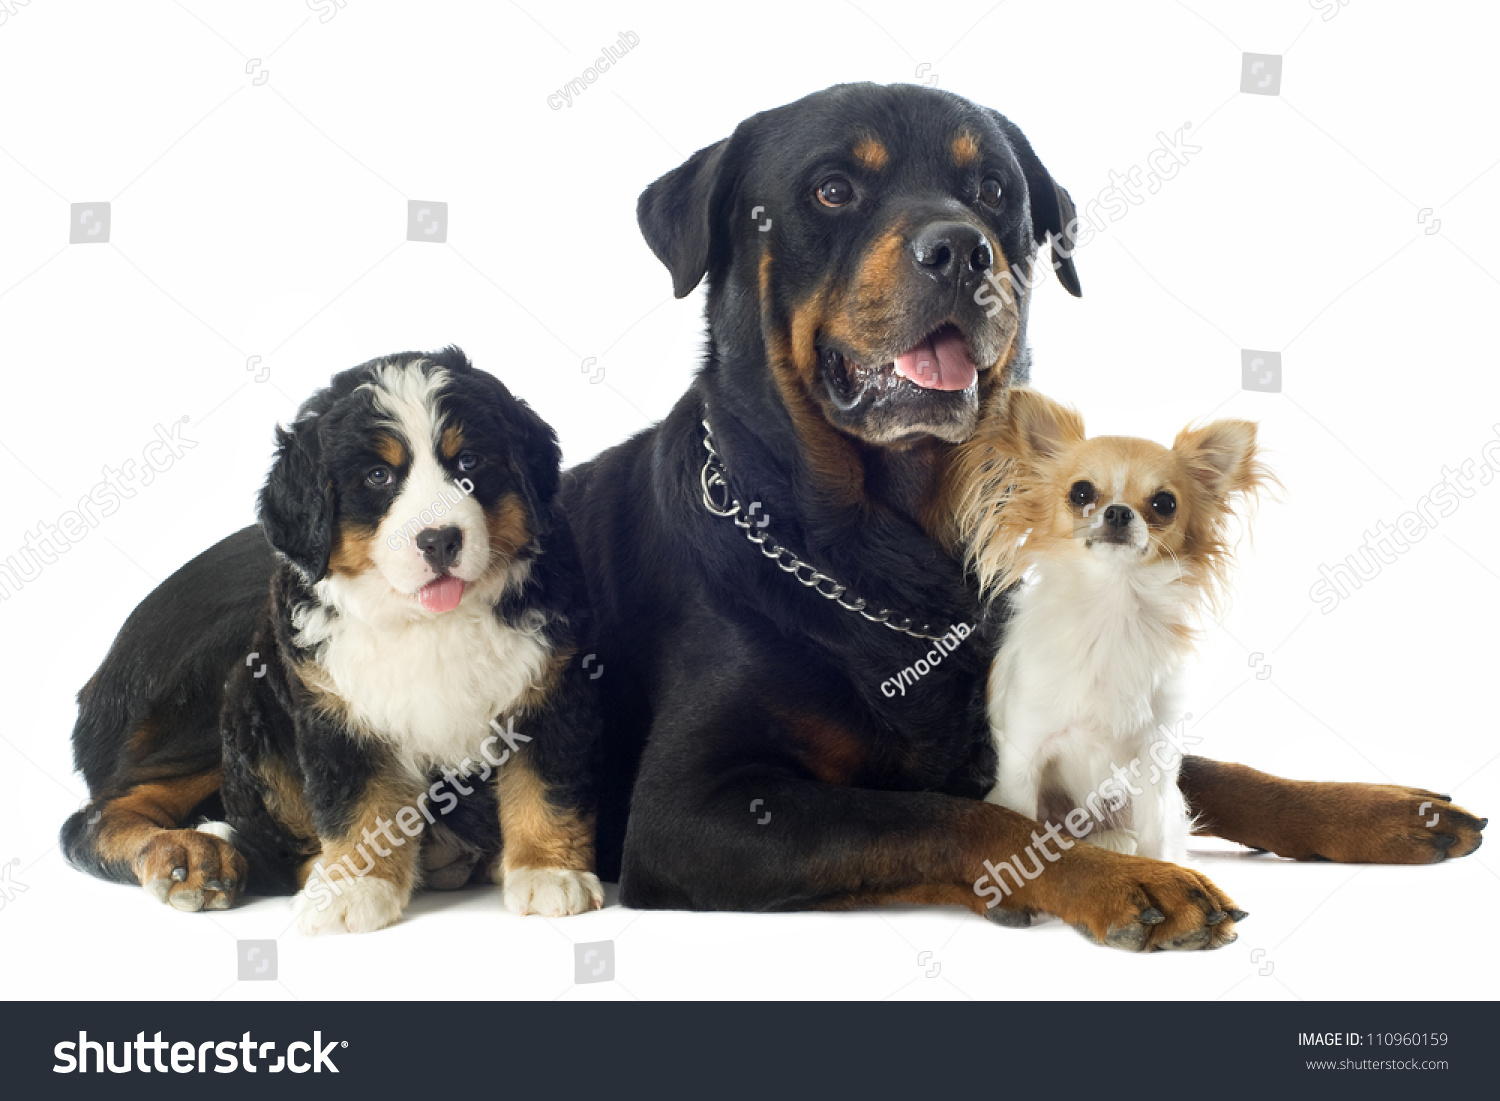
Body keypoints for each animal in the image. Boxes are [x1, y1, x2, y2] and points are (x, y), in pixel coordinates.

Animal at [63, 349, 603, 936]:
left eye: (470, 464)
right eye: (378, 476)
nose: (439, 539)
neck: (430, 622)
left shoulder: (548, 687)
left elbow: (543, 787)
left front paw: (549, 872)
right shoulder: (336, 706)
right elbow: (355, 801)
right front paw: (353, 888)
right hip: (242, 691)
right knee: (102, 813)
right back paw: (194, 856)